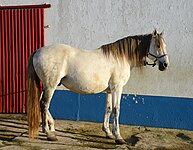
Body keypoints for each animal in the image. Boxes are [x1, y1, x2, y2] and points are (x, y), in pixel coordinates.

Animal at [27, 29, 169, 144]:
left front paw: (108, 133)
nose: (165, 65)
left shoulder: (109, 90)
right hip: (50, 85)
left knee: (41, 102)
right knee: (44, 104)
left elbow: (108, 109)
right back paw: (48, 133)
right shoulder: (117, 88)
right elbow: (116, 109)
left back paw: (52, 127)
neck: (121, 57)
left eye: (164, 45)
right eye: (157, 45)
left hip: (46, 85)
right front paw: (118, 137)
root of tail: (38, 51)